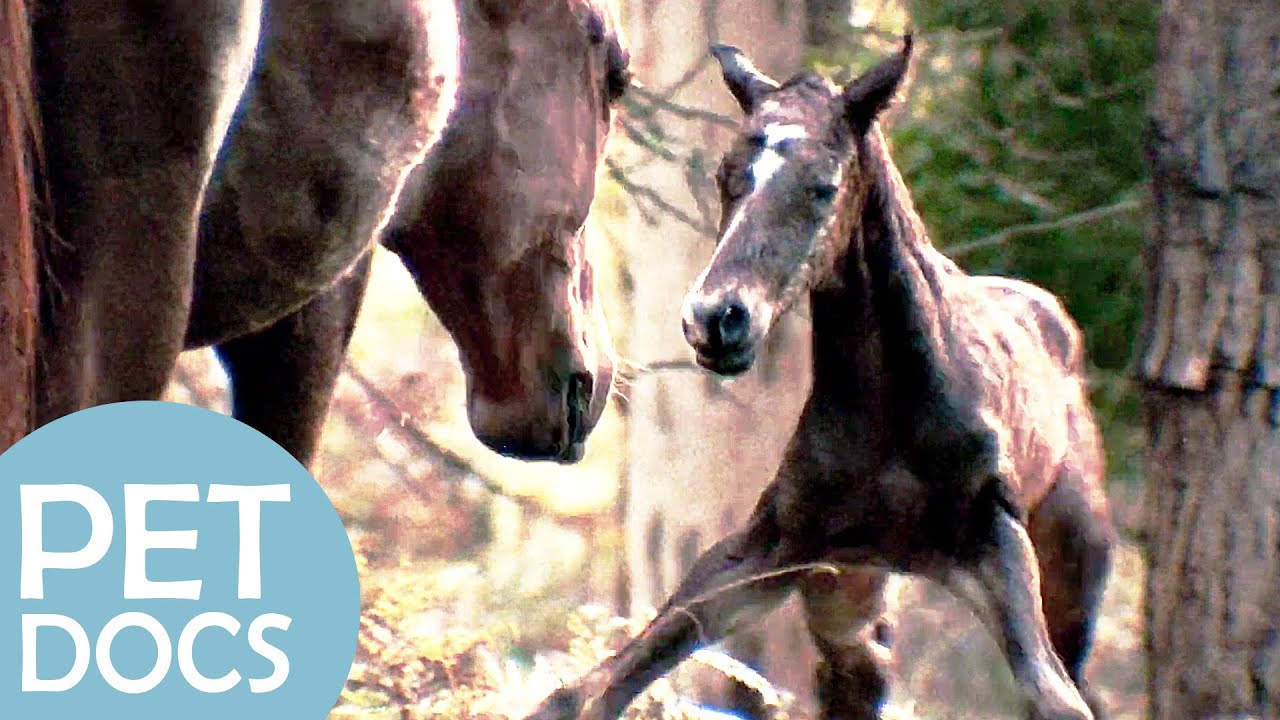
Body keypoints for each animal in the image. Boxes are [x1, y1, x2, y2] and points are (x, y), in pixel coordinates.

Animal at [524, 39, 1114, 720]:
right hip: (847, 602)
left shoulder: (998, 543)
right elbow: (590, 689)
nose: (715, 320)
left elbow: (1054, 697)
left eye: (823, 186)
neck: (896, 414)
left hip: (1069, 578)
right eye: (727, 176)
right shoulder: (775, 547)